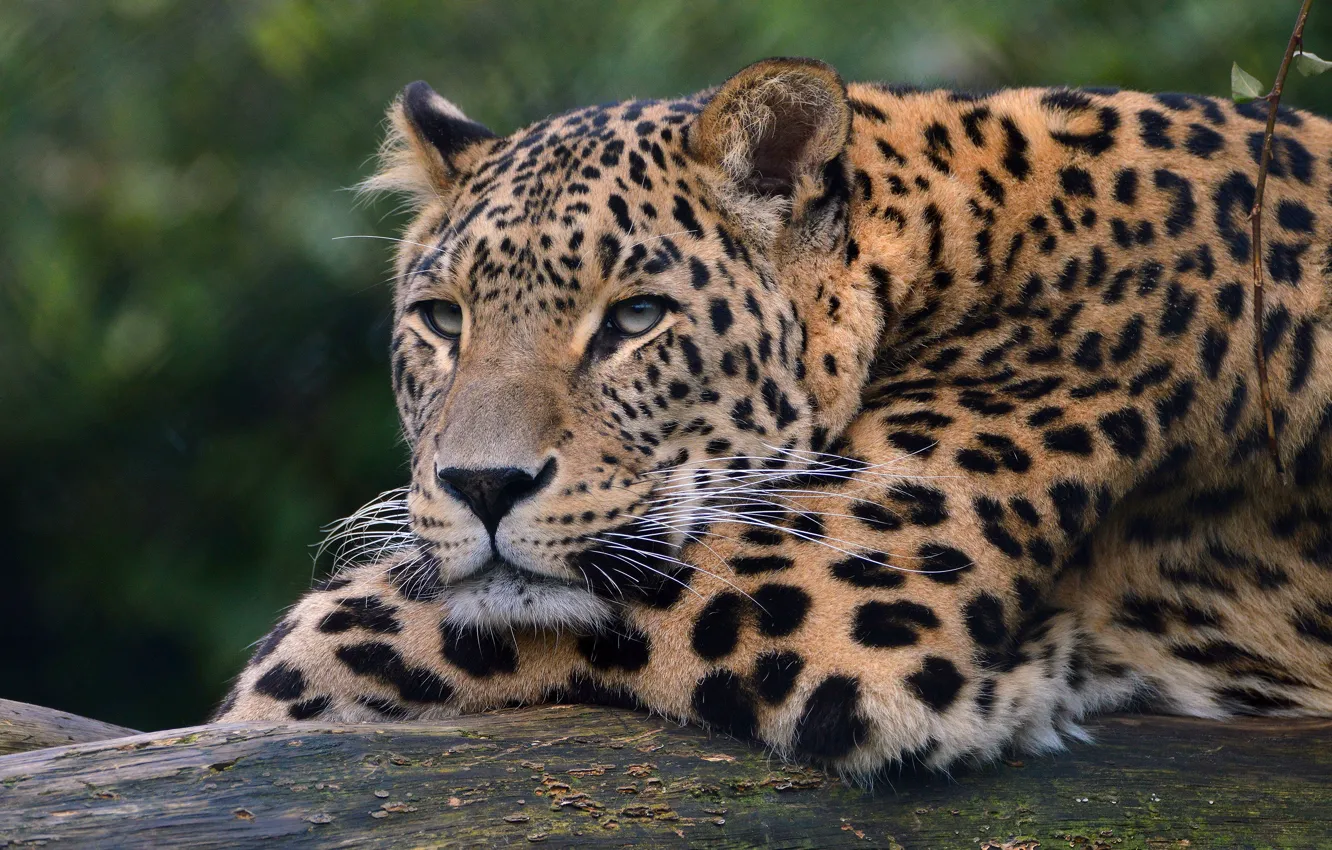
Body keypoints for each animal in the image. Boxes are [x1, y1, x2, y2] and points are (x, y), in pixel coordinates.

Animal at [217, 57, 1332, 780]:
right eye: (443, 320)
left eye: (634, 319)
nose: (483, 486)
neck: (953, 239)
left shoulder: (833, 596)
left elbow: (330, 637)